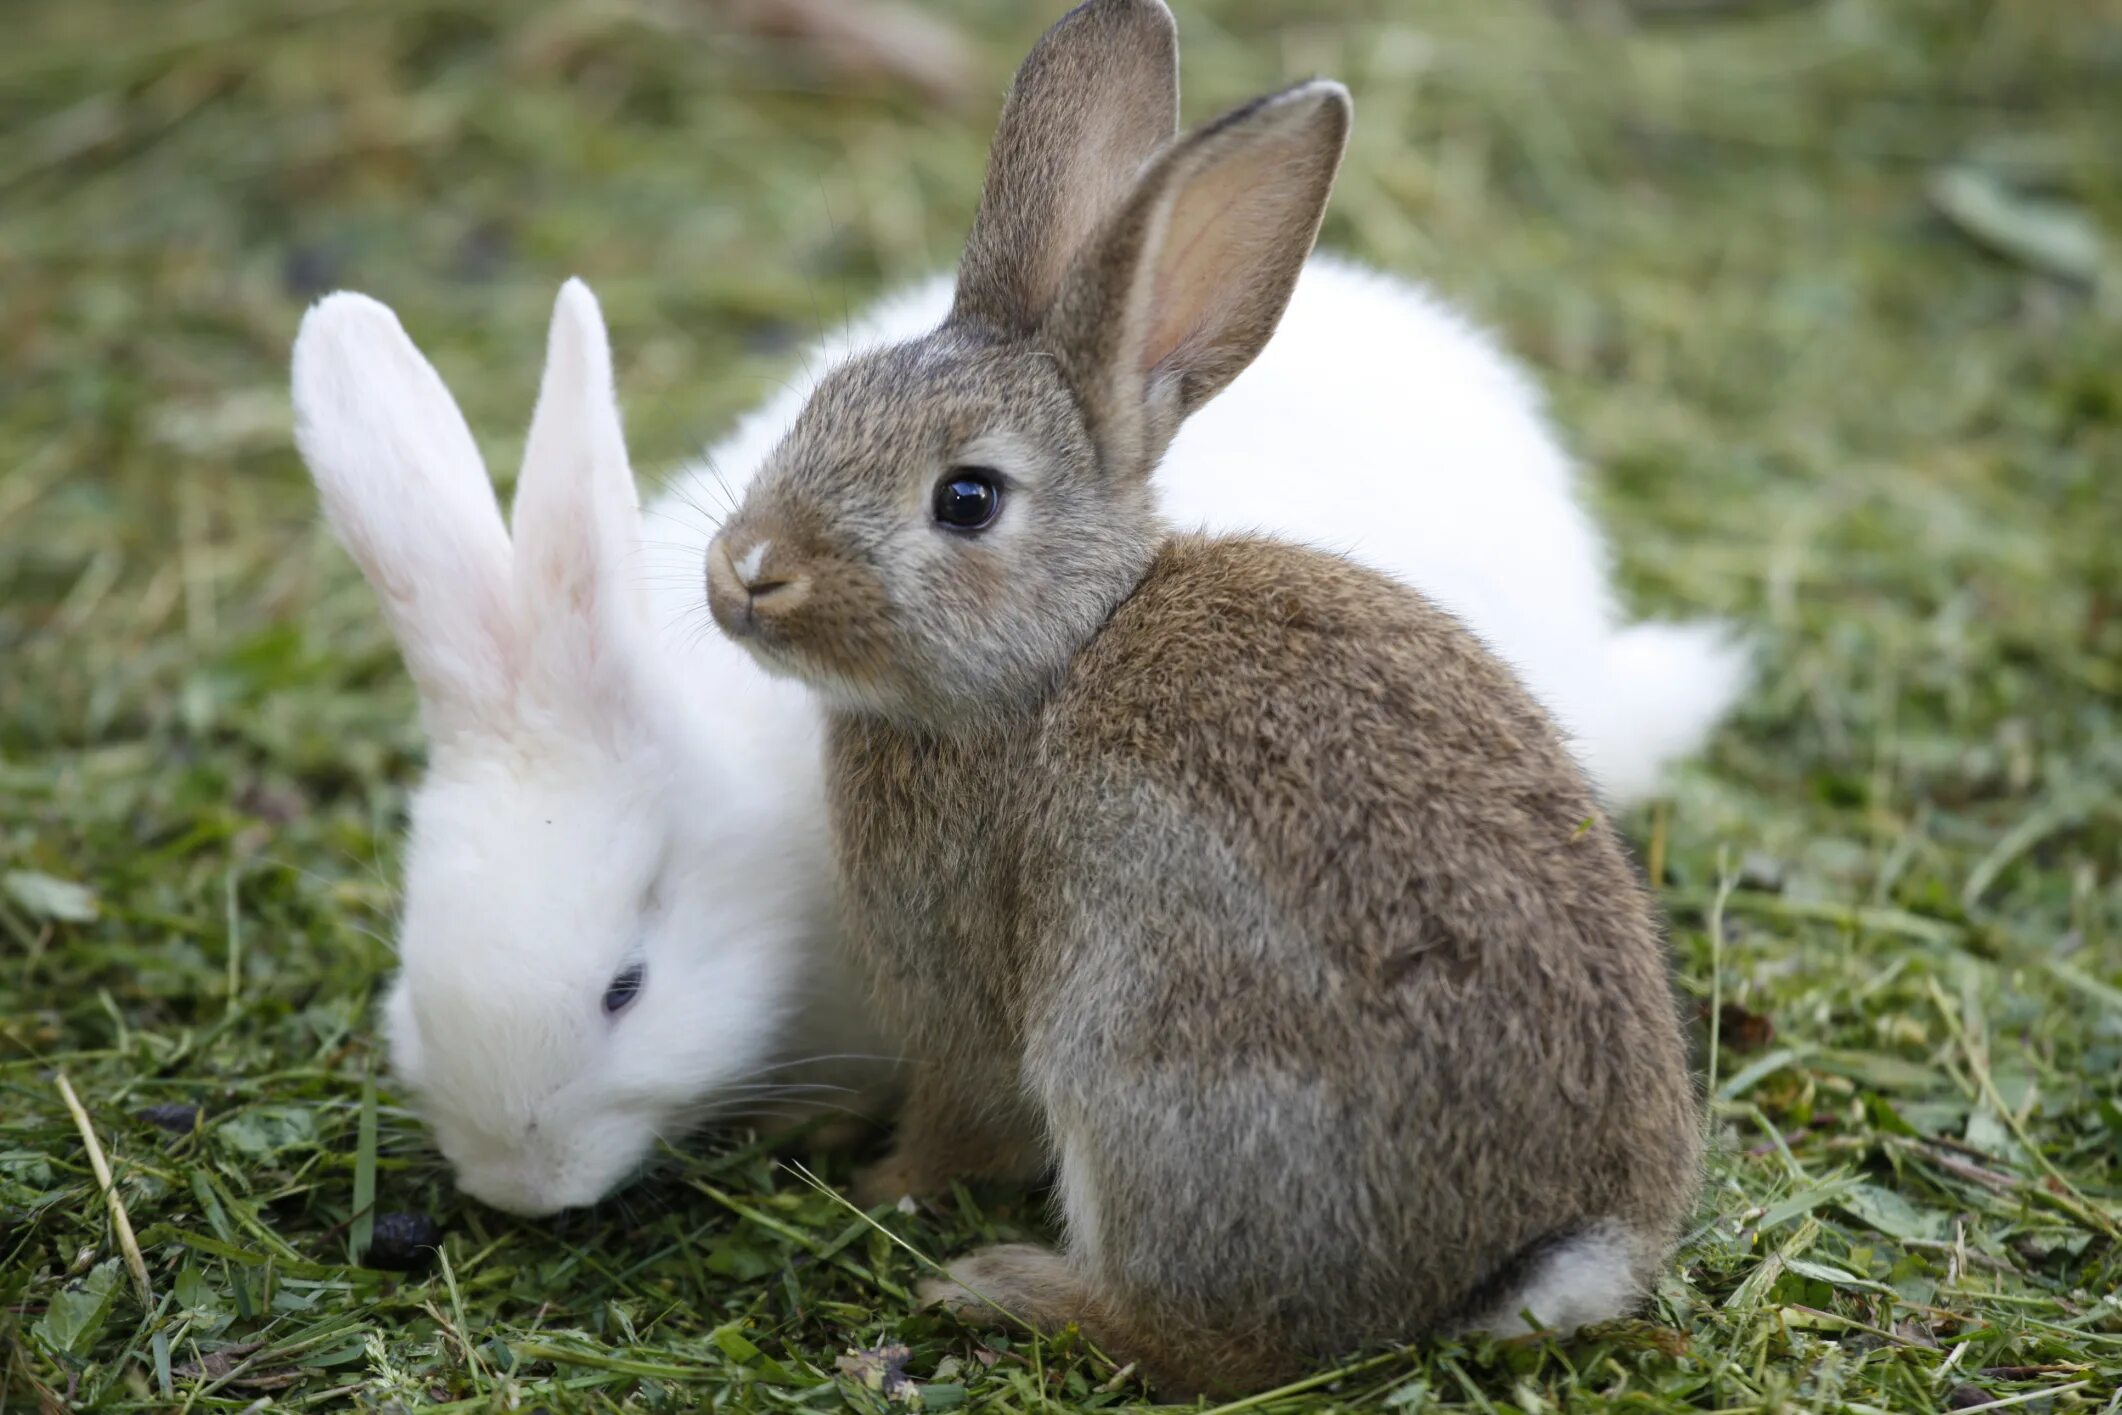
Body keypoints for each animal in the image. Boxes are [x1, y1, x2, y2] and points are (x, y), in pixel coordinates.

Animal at [704, 0, 1697, 1391]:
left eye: (967, 498)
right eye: (823, 402)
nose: (746, 569)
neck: (1055, 656)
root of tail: (1546, 1248)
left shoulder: (967, 1005)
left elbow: (957, 1124)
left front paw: (879, 1181)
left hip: (1147, 1064)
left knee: (1218, 1341)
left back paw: (1008, 1289)